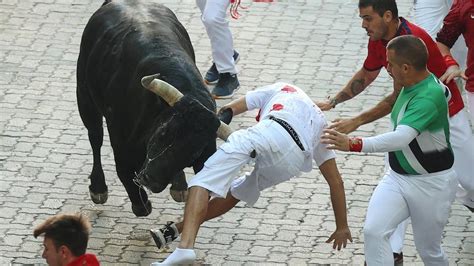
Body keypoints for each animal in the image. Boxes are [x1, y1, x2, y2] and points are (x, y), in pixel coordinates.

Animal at [78, 0, 224, 216]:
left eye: (194, 152)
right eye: (163, 132)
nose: (150, 180)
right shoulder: (119, 134)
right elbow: (123, 167)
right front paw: (140, 203)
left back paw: (179, 185)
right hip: (85, 98)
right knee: (95, 138)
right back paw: (98, 188)